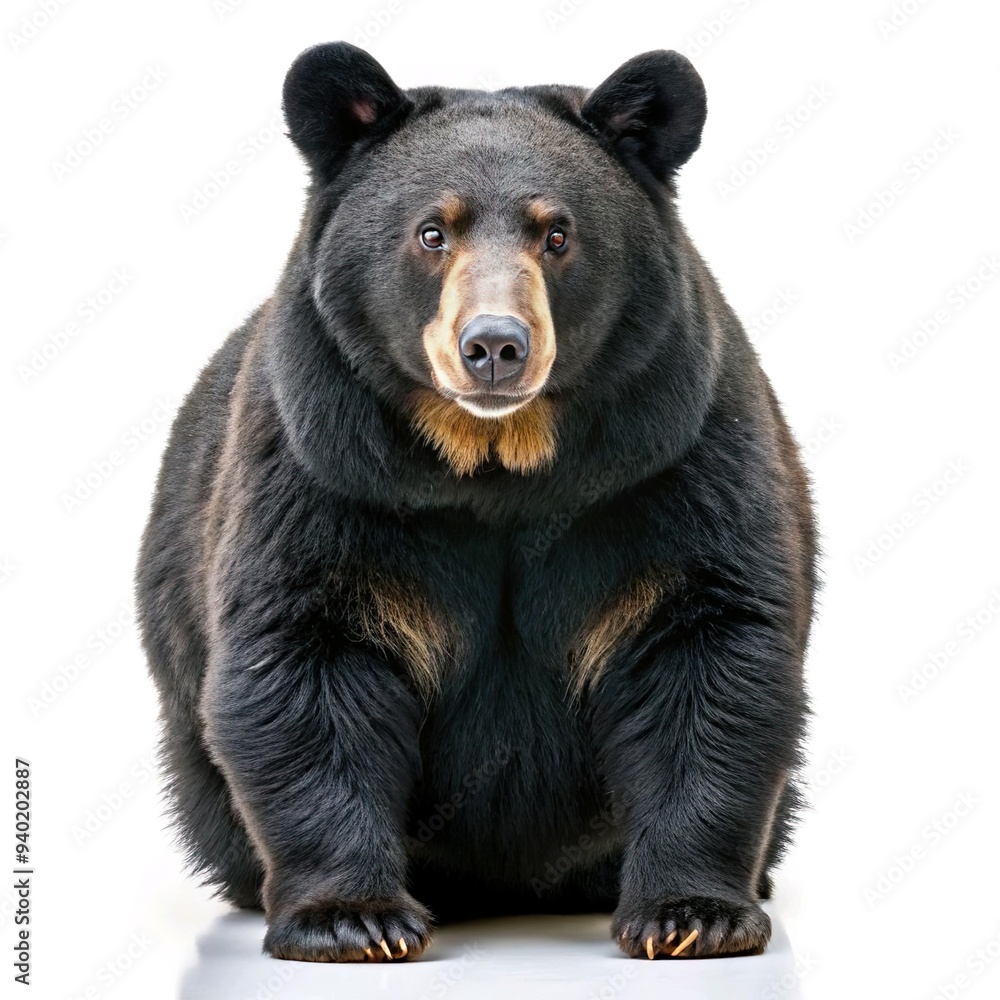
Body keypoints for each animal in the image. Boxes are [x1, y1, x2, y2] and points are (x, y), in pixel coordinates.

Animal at [136, 42, 816, 963]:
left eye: (557, 233)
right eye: (432, 231)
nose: (494, 345)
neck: (498, 462)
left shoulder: (671, 452)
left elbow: (704, 642)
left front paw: (690, 915)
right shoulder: (325, 468)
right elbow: (309, 653)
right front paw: (352, 918)